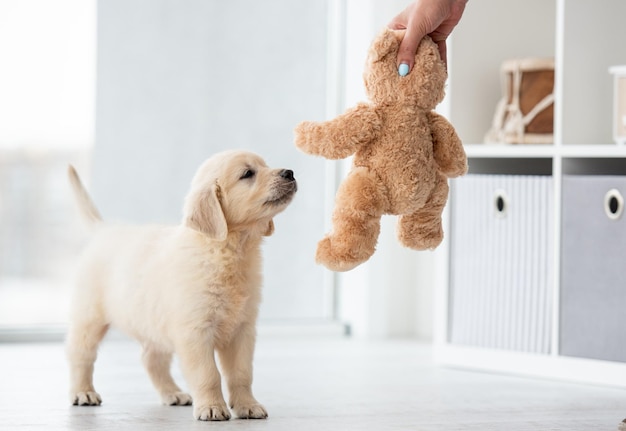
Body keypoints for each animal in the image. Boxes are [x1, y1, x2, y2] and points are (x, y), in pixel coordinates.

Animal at [64, 151, 296, 422]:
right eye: (247, 174)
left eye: (265, 165)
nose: (289, 172)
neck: (227, 250)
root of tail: (104, 230)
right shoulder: (195, 332)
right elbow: (208, 374)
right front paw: (212, 408)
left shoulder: (242, 329)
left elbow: (241, 373)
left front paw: (248, 405)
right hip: (90, 318)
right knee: (81, 355)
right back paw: (83, 392)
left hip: (153, 323)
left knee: (151, 359)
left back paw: (172, 393)